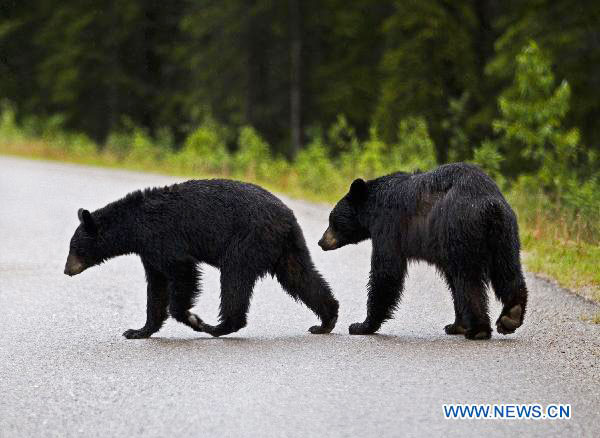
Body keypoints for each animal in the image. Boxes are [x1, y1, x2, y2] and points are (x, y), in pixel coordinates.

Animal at [65, 180, 340, 338]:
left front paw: (191, 318)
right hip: (286, 247)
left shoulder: (163, 238)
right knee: (300, 276)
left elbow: (182, 272)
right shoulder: (149, 252)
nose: (67, 270)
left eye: (74, 247)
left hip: (247, 240)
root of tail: (286, 217)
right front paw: (138, 331)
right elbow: (156, 287)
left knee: (234, 279)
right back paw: (326, 321)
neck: (134, 225)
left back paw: (216, 327)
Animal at [316, 163, 528, 338]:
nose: (321, 242)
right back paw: (511, 315)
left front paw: (361, 325)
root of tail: (488, 204)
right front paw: (456, 325)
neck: (372, 208)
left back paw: (478, 330)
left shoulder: (389, 225)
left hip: (461, 228)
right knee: (507, 271)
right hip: (505, 234)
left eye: (332, 221)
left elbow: (386, 271)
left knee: (468, 281)